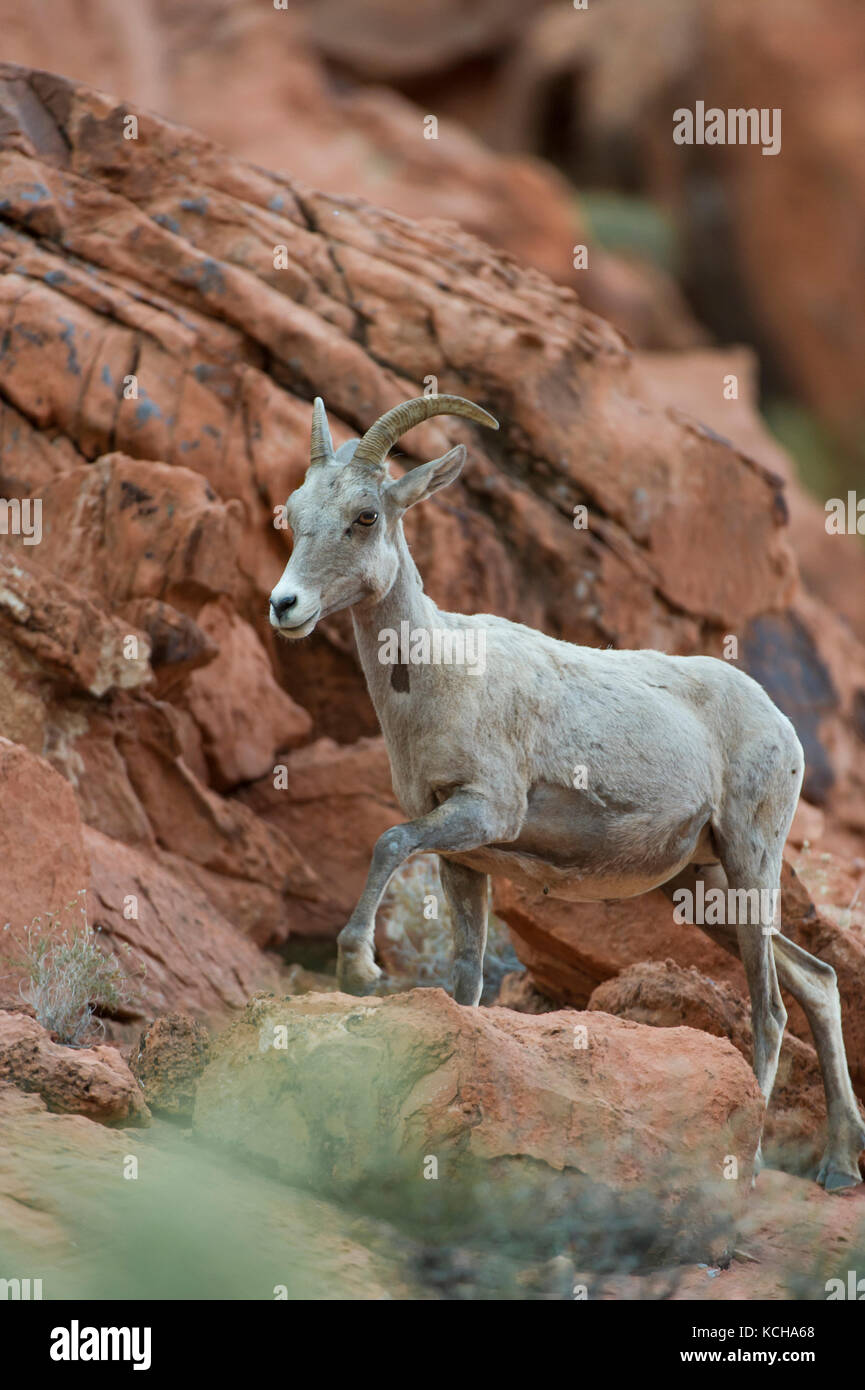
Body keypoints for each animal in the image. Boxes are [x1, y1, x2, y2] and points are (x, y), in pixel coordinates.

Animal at [269, 393, 864, 1191]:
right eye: (294, 511)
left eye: (365, 517)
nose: (285, 605)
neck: (435, 675)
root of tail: (780, 724)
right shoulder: (461, 858)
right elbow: (465, 981)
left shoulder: (482, 813)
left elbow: (386, 844)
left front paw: (357, 966)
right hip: (700, 887)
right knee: (818, 981)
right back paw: (837, 1167)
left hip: (749, 861)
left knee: (770, 1008)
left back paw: (755, 1160)